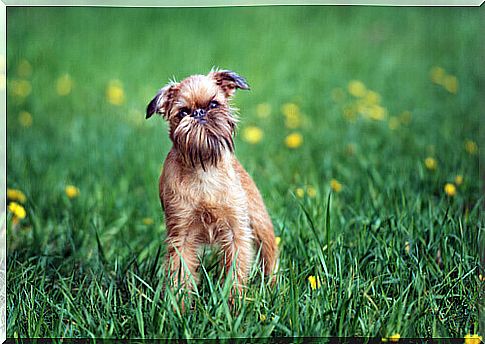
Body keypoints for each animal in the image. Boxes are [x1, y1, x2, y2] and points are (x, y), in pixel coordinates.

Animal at [145, 68, 276, 296]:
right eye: (183, 113)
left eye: (214, 104)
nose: (199, 113)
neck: (204, 168)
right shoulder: (182, 236)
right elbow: (181, 275)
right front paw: (179, 304)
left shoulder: (236, 232)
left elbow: (235, 271)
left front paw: (233, 301)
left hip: (260, 221)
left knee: (270, 253)